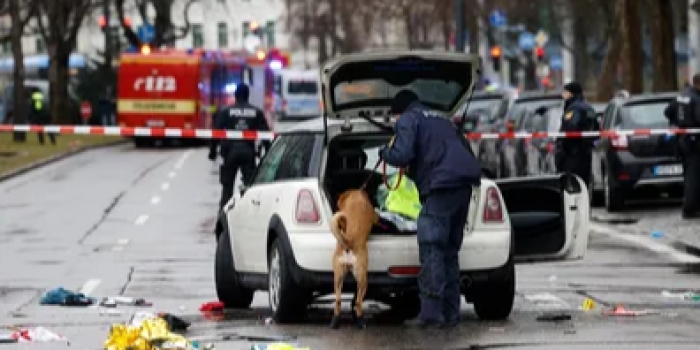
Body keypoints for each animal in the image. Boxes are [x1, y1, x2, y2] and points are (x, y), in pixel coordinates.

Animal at [328, 189, 378, 328]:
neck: (356, 196)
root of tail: (349, 242)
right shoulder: (374, 216)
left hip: (338, 277)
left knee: (338, 300)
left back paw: (334, 322)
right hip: (363, 279)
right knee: (358, 302)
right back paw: (361, 321)